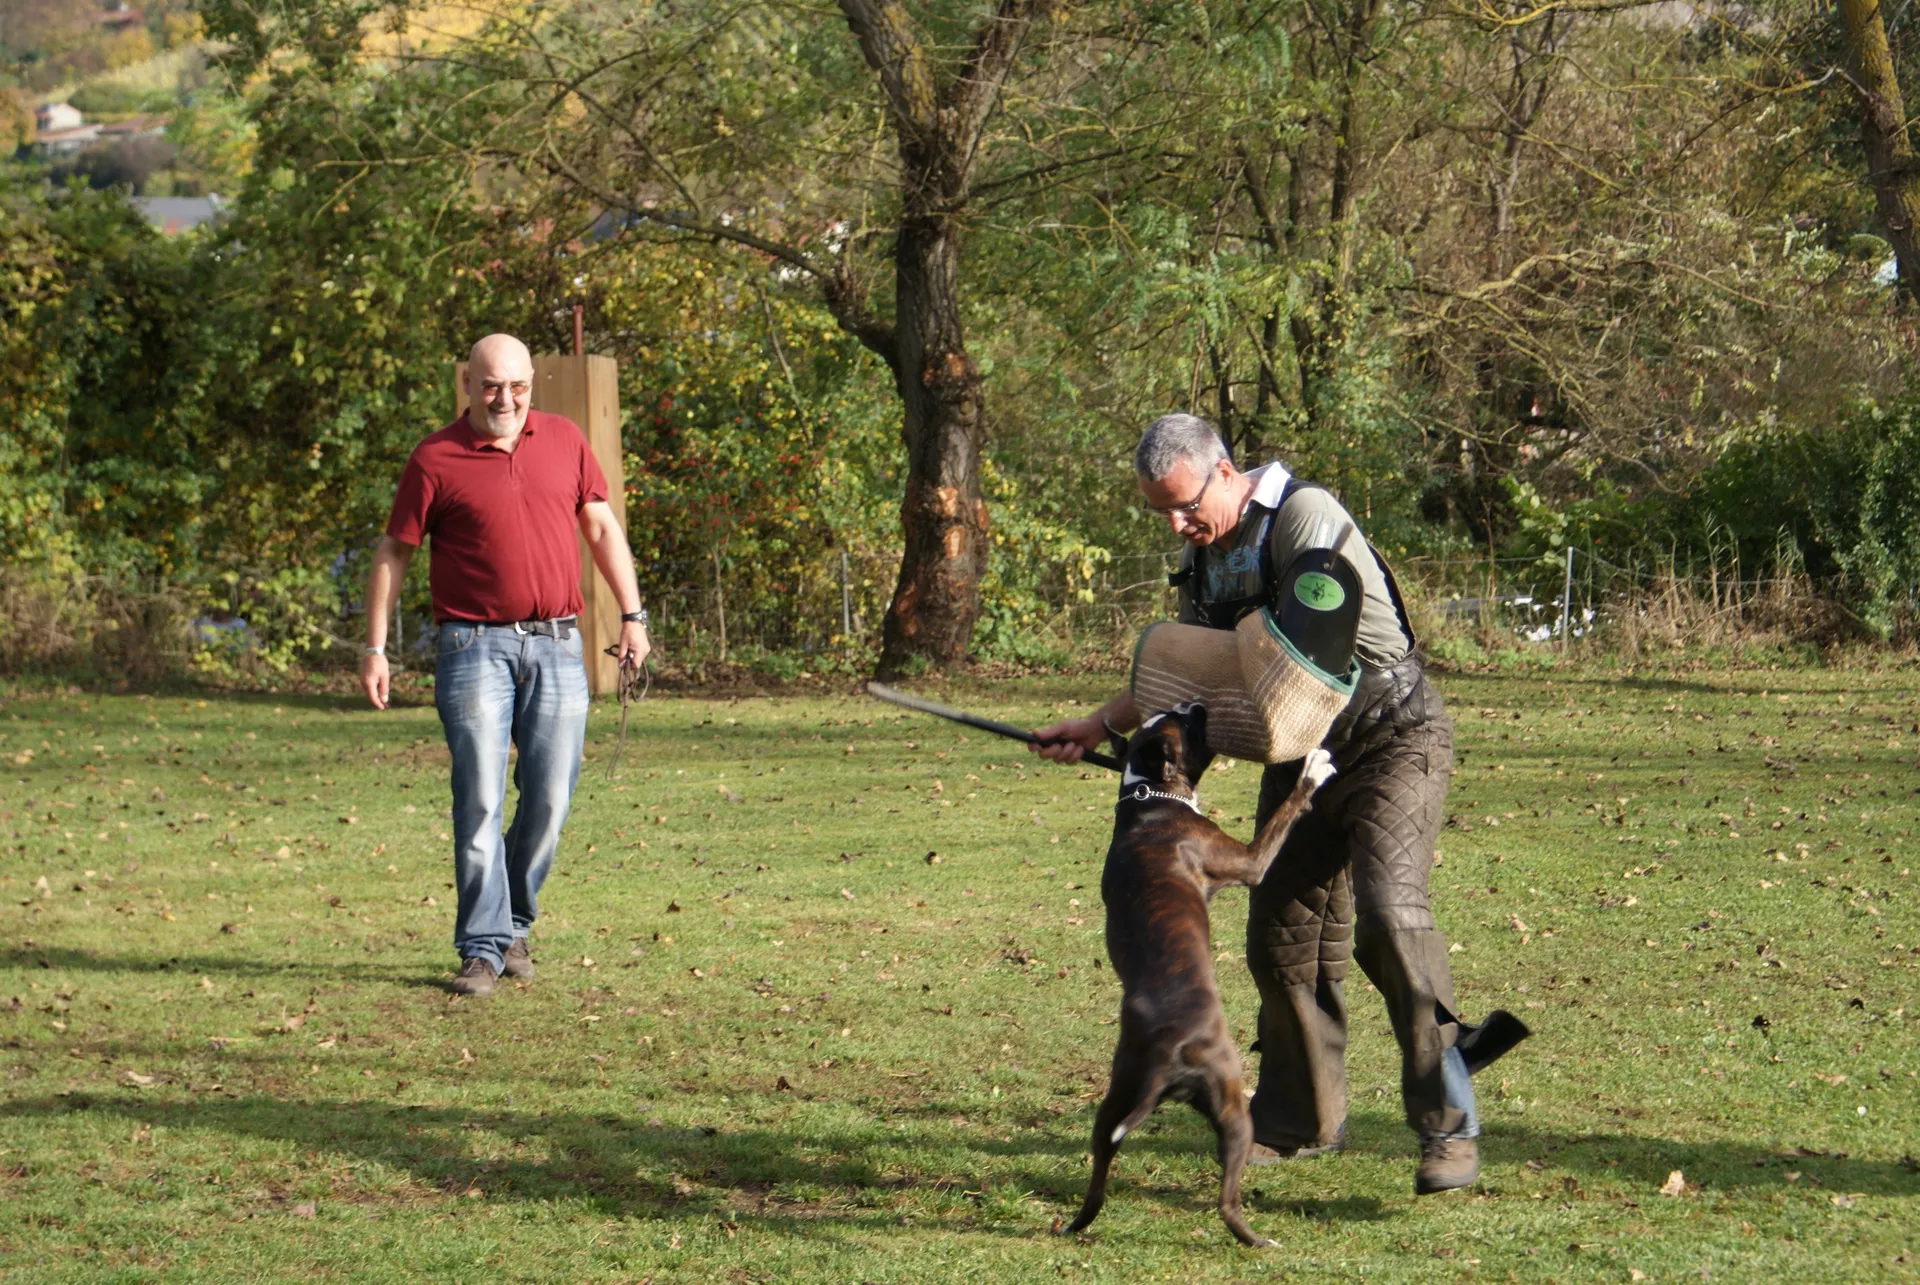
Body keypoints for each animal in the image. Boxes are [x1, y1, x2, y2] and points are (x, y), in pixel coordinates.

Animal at [1065, 703, 1335, 1247]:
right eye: (1187, 727)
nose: (1196, 705)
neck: (1149, 795)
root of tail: (1167, 1054)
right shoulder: (1249, 860)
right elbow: (1287, 811)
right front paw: (1314, 768)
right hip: (1233, 1112)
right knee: (1226, 1203)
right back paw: (1259, 1241)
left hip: (1113, 1104)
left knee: (1098, 1180)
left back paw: (1073, 1224)